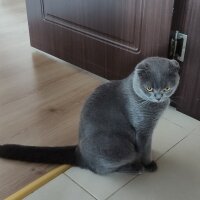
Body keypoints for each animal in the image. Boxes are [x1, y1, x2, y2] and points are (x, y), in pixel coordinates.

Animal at [0, 57, 180, 174]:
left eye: (167, 88)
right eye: (149, 88)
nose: (158, 96)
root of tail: (79, 153)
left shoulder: (149, 130)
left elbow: (147, 145)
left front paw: (151, 150)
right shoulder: (142, 128)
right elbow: (144, 148)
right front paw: (148, 163)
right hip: (120, 147)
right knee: (103, 170)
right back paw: (135, 167)